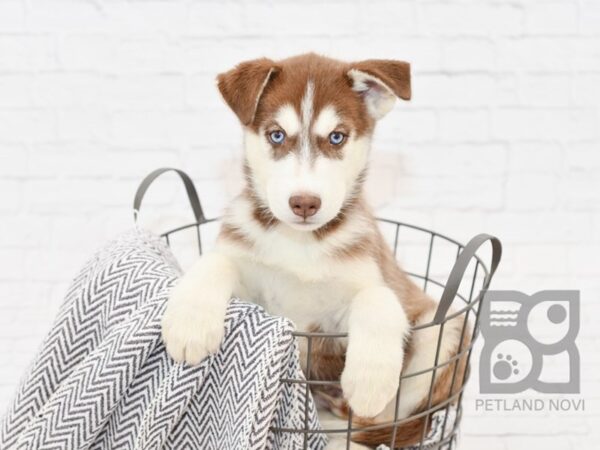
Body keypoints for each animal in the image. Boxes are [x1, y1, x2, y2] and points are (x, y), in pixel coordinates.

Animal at [163, 53, 468, 450]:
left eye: (337, 137)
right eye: (277, 134)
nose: (305, 203)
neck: (299, 242)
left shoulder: (356, 298)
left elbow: (377, 297)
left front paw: (369, 378)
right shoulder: (253, 286)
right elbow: (215, 260)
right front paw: (190, 325)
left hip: (444, 331)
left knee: (381, 425)